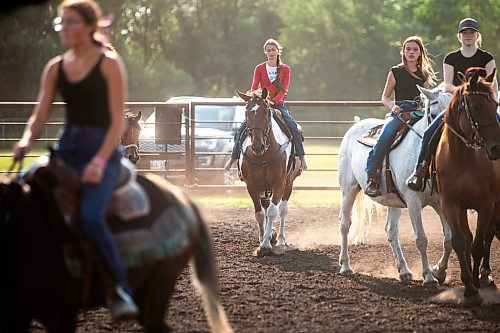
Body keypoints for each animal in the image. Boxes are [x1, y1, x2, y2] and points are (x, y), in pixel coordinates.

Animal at [237, 87, 302, 254]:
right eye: (246, 112)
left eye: (266, 112)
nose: (257, 146)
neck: (263, 155)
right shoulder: (251, 185)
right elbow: (260, 214)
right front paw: (262, 240)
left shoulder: (279, 183)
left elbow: (273, 211)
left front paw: (266, 245)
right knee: (266, 208)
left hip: (289, 184)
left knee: (283, 209)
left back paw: (280, 239)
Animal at [338, 89, 456, 286]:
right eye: (432, 114)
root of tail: (355, 127)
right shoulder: (413, 202)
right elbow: (421, 239)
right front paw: (428, 276)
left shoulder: (440, 202)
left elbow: (450, 238)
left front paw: (439, 271)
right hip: (348, 190)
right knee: (345, 224)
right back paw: (346, 266)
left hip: (393, 201)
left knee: (391, 230)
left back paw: (404, 270)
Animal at [434, 68, 500, 306]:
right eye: (477, 106)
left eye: (495, 105)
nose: (496, 148)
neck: (461, 157)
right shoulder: (450, 204)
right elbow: (460, 241)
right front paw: (469, 288)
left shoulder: (486, 204)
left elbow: (479, 244)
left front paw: (476, 285)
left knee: (488, 237)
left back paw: (484, 274)